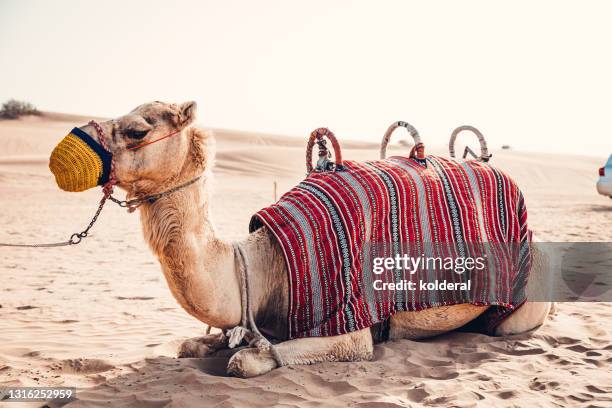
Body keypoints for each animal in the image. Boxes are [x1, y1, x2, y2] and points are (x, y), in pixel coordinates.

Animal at [77, 101, 556, 376]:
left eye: (137, 130)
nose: (80, 140)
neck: (265, 266)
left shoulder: (349, 323)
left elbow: (246, 360)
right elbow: (191, 344)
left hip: (522, 301)